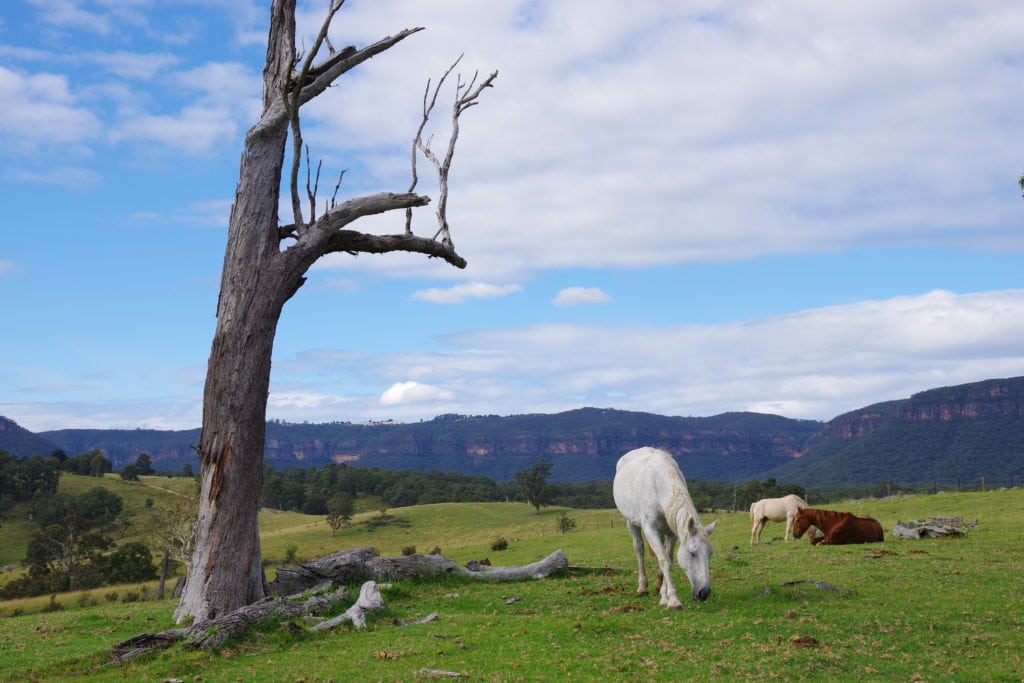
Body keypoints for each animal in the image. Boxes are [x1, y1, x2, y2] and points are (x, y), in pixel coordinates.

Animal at [610, 448, 716, 610]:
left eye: (710, 554)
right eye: (692, 553)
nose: (704, 592)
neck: (658, 485)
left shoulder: (672, 534)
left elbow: (668, 559)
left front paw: (664, 595)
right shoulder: (651, 529)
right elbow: (665, 562)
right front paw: (673, 601)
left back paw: (658, 585)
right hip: (631, 523)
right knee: (639, 549)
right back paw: (642, 587)